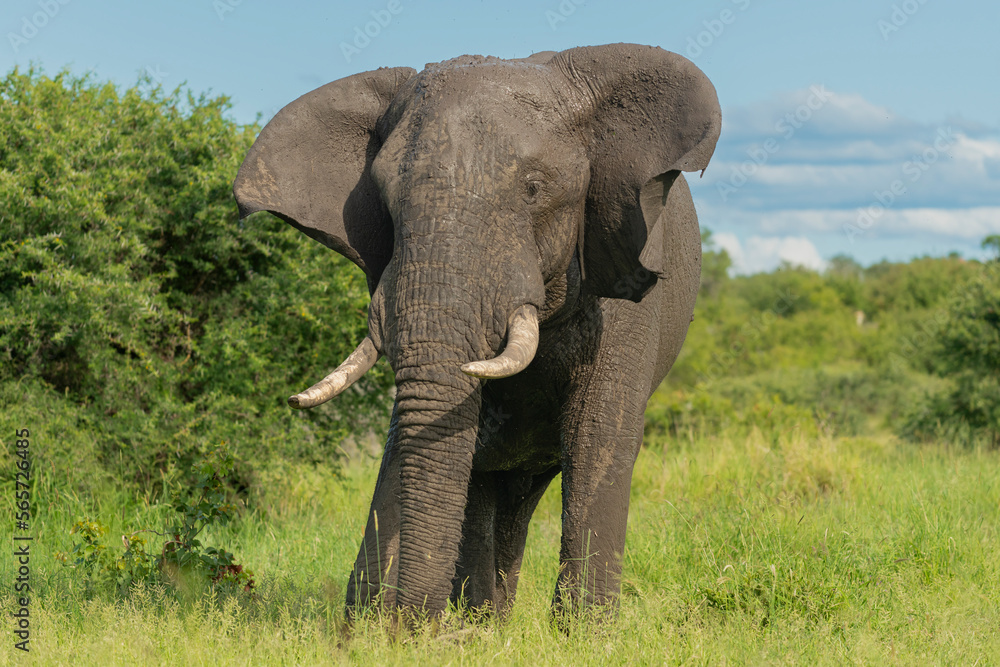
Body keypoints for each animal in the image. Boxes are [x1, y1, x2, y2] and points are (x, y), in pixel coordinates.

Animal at [233, 43, 721, 618]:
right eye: (384, 202)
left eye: (534, 190)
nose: (402, 623)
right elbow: (439, 441)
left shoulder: (622, 277)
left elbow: (598, 437)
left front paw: (586, 632)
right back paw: (485, 619)